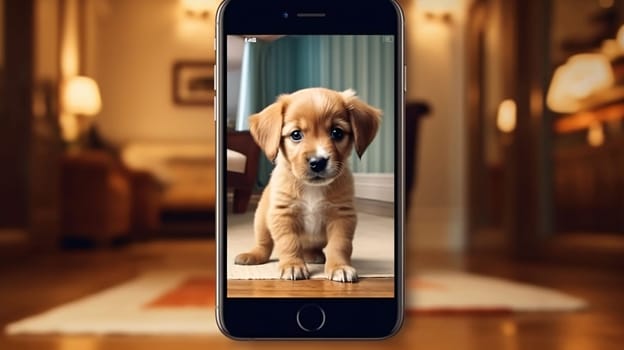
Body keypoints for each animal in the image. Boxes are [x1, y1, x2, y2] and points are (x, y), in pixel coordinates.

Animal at [234, 87, 380, 282]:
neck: (312, 188)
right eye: (296, 134)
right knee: (264, 244)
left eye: (337, 132)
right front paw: (292, 265)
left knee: (311, 248)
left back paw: (313, 255)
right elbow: (289, 243)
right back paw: (253, 255)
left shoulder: (342, 216)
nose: (318, 162)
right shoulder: (283, 214)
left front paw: (339, 267)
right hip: (261, 221)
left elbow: (339, 245)